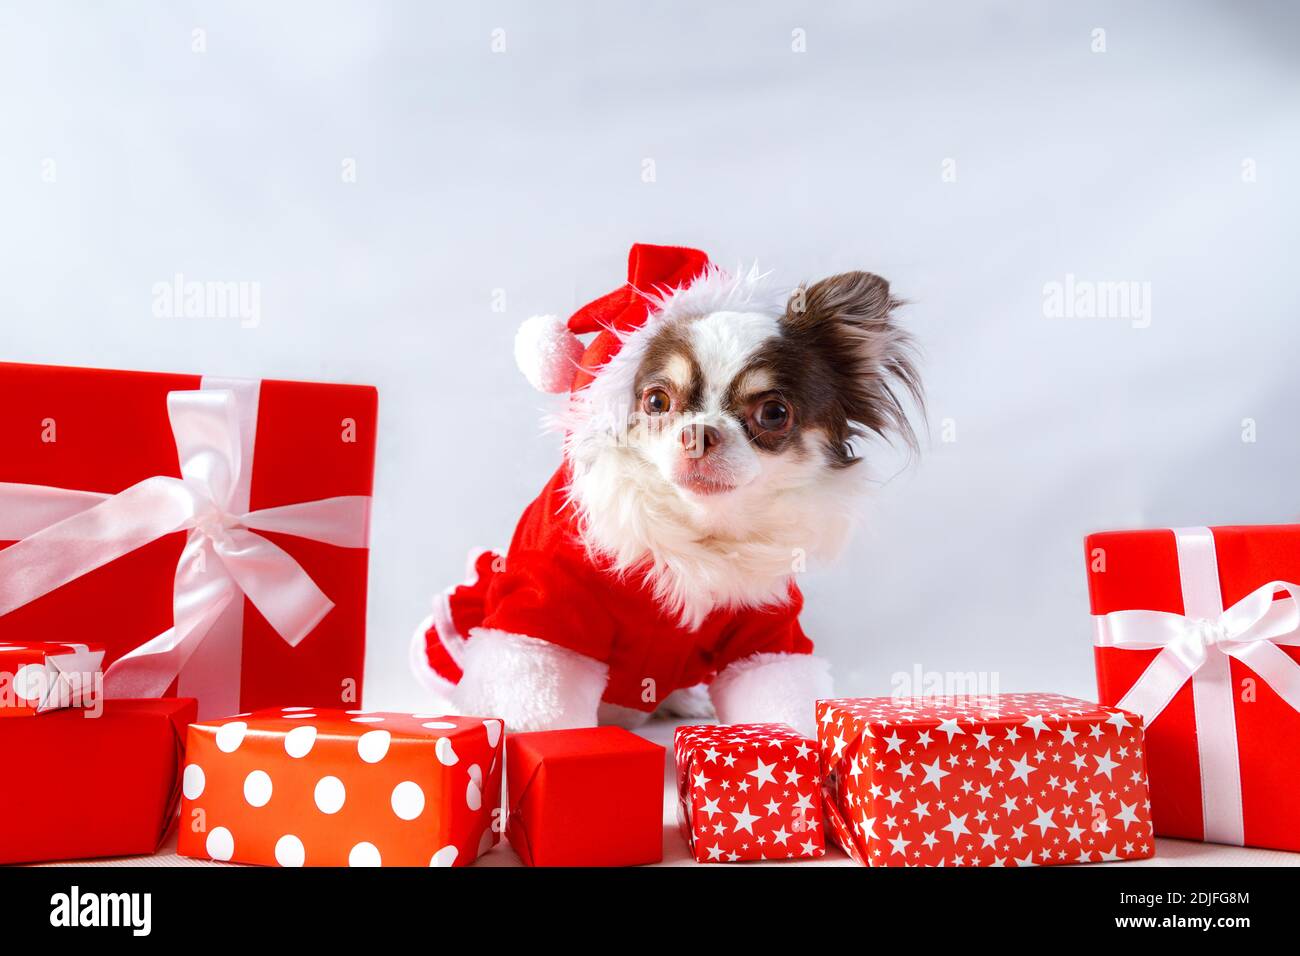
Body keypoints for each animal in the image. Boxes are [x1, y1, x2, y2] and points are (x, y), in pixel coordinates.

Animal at [410, 240, 920, 733]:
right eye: (657, 401)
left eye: (774, 413)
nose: (699, 432)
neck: (698, 536)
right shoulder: (547, 611)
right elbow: (541, 696)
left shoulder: (766, 630)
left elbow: (774, 688)